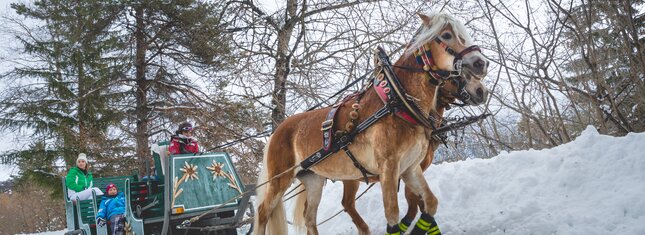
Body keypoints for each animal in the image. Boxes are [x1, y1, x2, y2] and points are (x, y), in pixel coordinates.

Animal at [254, 11, 486, 234]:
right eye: (446, 35)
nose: (481, 63)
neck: (397, 101)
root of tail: (277, 131)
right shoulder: (389, 167)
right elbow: (393, 214)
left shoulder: (410, 168)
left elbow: (430, 202)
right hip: (280, 179)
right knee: (263, 212)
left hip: (313, 179)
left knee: (310, 217)